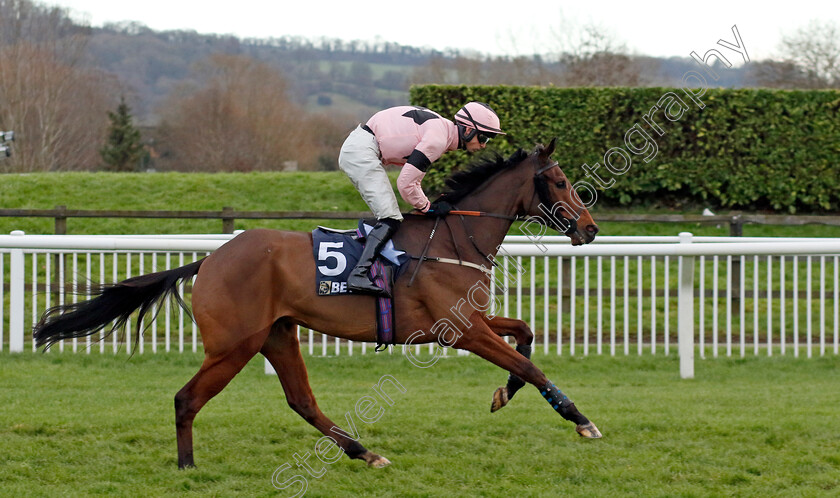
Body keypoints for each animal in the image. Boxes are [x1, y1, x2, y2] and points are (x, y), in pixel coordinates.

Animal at [32, 138, 596, 468]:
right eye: (561, 181)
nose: (590, 228)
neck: (454, 239)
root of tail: (210, 260)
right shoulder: (460, 330)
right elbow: (531, 364)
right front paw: (581, 420)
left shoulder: (469, 322)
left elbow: (524, 337)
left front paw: (504, 394)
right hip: (234, 346)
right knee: (186, 399)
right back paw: (187, 466)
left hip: (277, 335)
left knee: (301, 400)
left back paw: (364, 452)